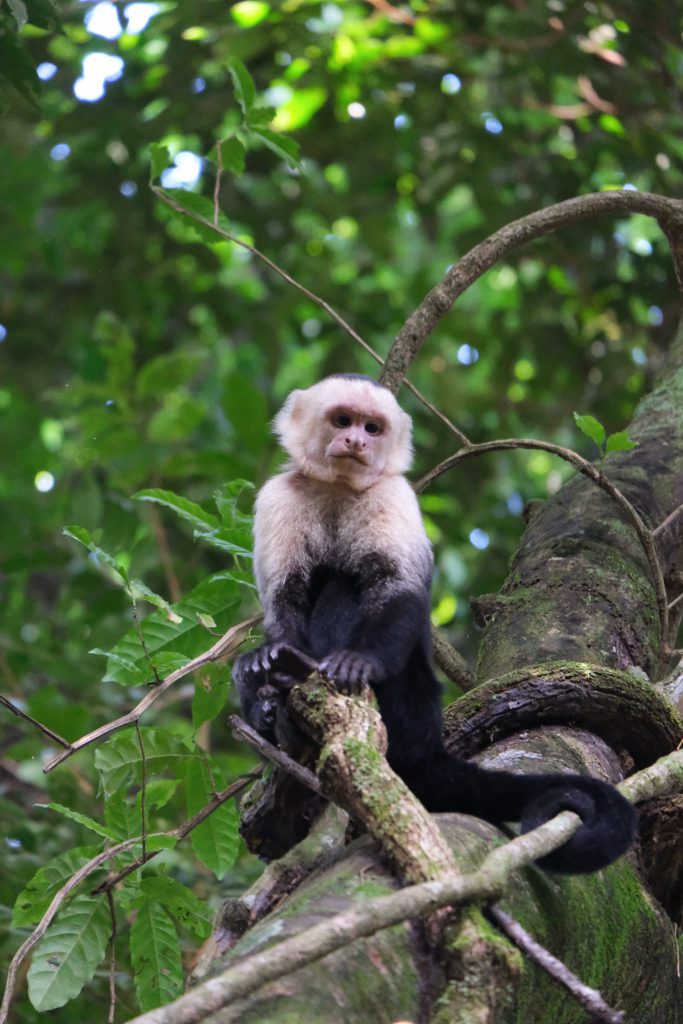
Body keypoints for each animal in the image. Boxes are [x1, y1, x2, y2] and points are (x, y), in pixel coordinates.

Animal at [232, 374, 638, 872]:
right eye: (343, 420)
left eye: (372, 428)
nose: (355, 442)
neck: (338, 489)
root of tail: (428, 743)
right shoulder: (280, 496)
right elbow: (283, 599)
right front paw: (269, 664)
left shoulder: (393, 495)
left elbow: (398, 588)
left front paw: (357, 662)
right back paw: (273, 703)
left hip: (409, 708)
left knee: (343, 589)